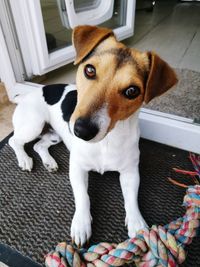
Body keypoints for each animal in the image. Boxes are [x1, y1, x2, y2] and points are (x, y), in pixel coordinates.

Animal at [8, 25, 177, 247]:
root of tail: (26, 95)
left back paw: (49, 162)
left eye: (132, 91)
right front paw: (81, 224)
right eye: (89, 70)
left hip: (55, 136)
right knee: (14, 141)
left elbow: (131, 199)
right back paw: (24, 159)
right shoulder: (78, 167)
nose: (82, 131)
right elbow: (83, 196)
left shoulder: (130, 172)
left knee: (39, 146)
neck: (106, 140)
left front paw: (138, 224)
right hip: (33, 126)